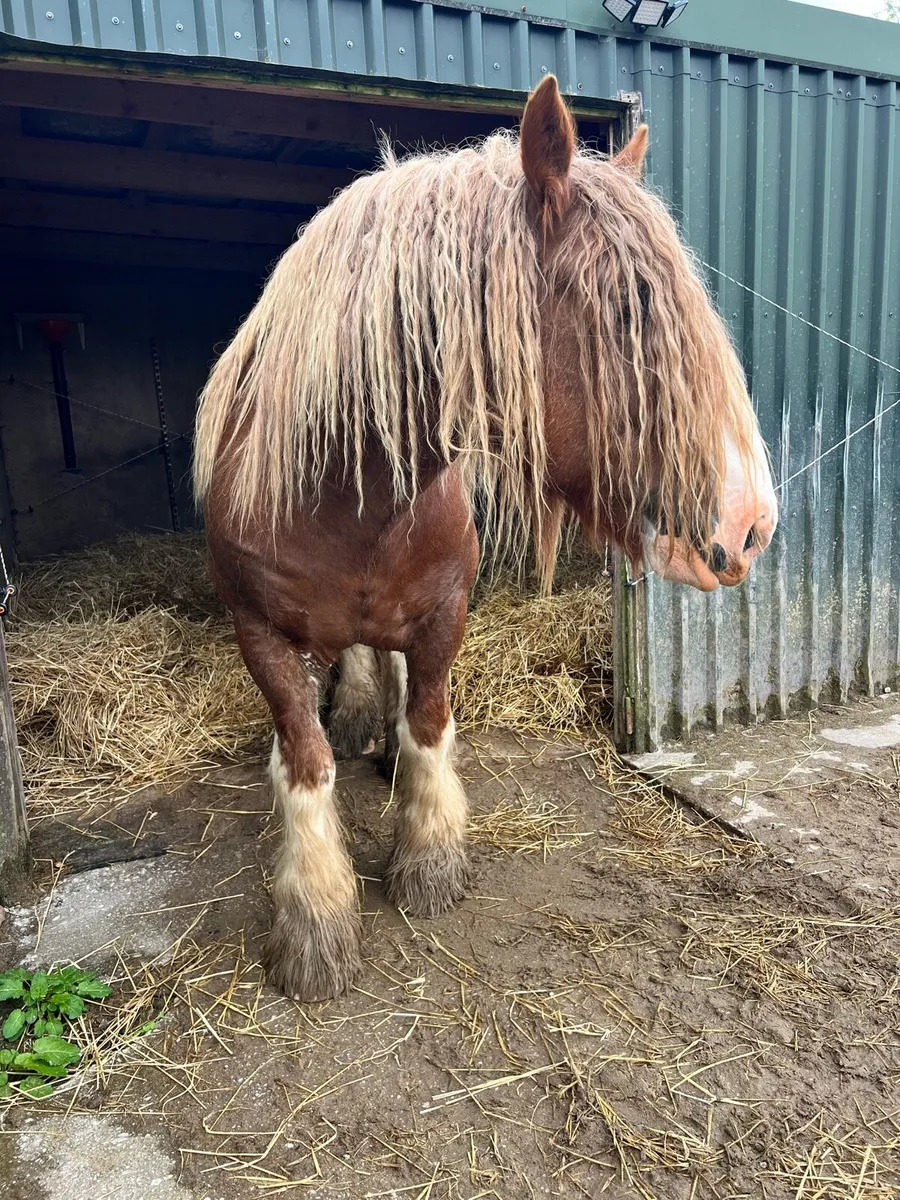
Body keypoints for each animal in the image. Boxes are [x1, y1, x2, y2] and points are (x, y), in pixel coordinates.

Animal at [194, 76, 778, 1002]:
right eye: (627, 309)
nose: (752, 525)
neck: (345, 498)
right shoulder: (261, 638)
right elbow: (305, 760)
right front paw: (316, 922)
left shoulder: (444, 614)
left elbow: (429, 721)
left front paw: (428, 861)